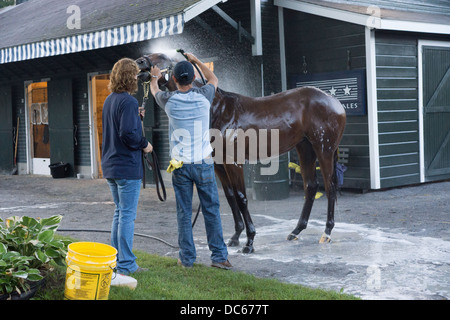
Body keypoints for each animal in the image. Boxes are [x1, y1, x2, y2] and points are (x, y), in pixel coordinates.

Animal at [137, 53, 348, 252]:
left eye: (161, 56)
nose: (139, 62)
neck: (217, 110)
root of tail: (335, 102)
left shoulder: (234, 162)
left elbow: (241, 197)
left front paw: (249, 241)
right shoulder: (219, 164)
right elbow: (230, 196)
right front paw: (236, 237)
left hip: (324, 149)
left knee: (330, 186)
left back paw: (327, 232)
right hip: (305, 148)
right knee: (310, 186)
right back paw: (296, 231)